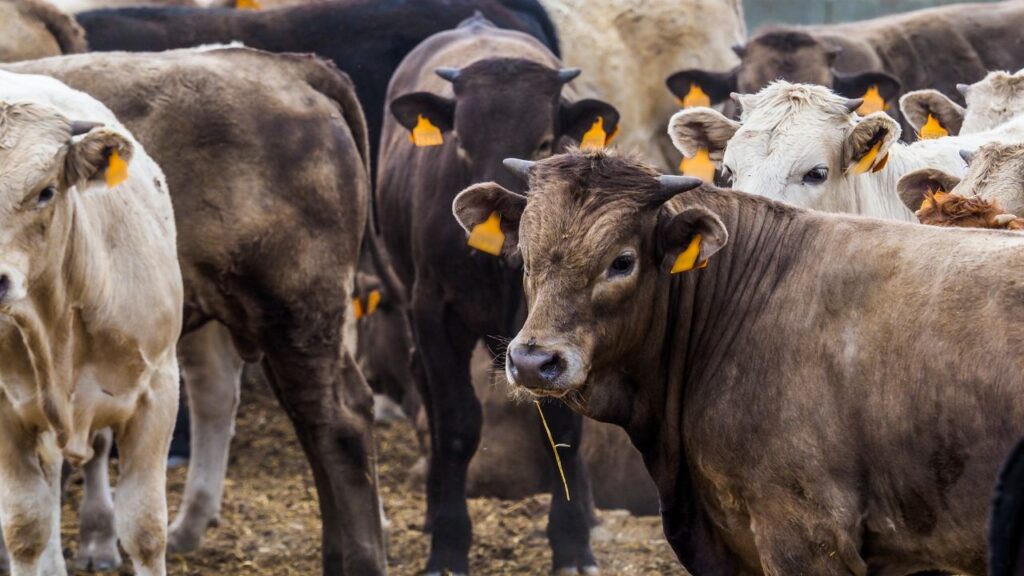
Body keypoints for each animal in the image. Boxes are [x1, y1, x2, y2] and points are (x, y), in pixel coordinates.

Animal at [377, 14, 619, 575]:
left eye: (546, 141)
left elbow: (562, 424)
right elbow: (457, 425)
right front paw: (448, 545)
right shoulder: (434, 311)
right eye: (461, 142)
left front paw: (573, 543)